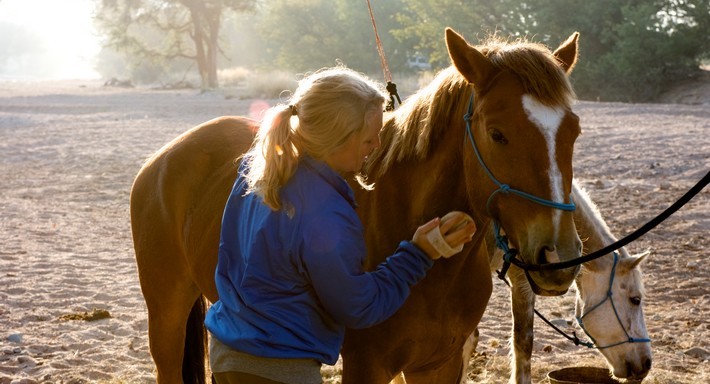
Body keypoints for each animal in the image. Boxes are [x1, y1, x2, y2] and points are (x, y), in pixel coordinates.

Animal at [132, 28, 584, 382]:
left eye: (574, 131)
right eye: (497, 133)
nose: (557, 255)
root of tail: (163, 159)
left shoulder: (438, 365)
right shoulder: (368, 365)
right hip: (166, 317)